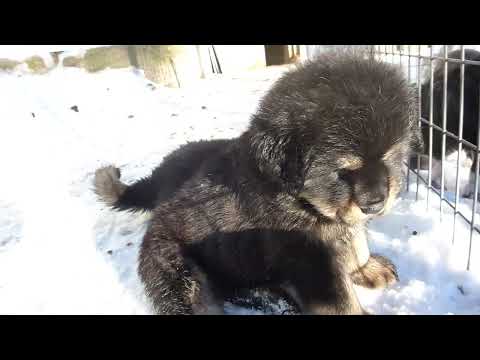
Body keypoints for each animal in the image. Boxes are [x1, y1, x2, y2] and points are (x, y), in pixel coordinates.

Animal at [94, 51, 424, 316]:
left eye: (391, 155)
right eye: (342, 170)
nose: (376, 204)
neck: (291, 194)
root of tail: (155, 223)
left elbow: (356, 243)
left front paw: (366, 268)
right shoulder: (307, 256)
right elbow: (339, 299)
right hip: (181, 277)